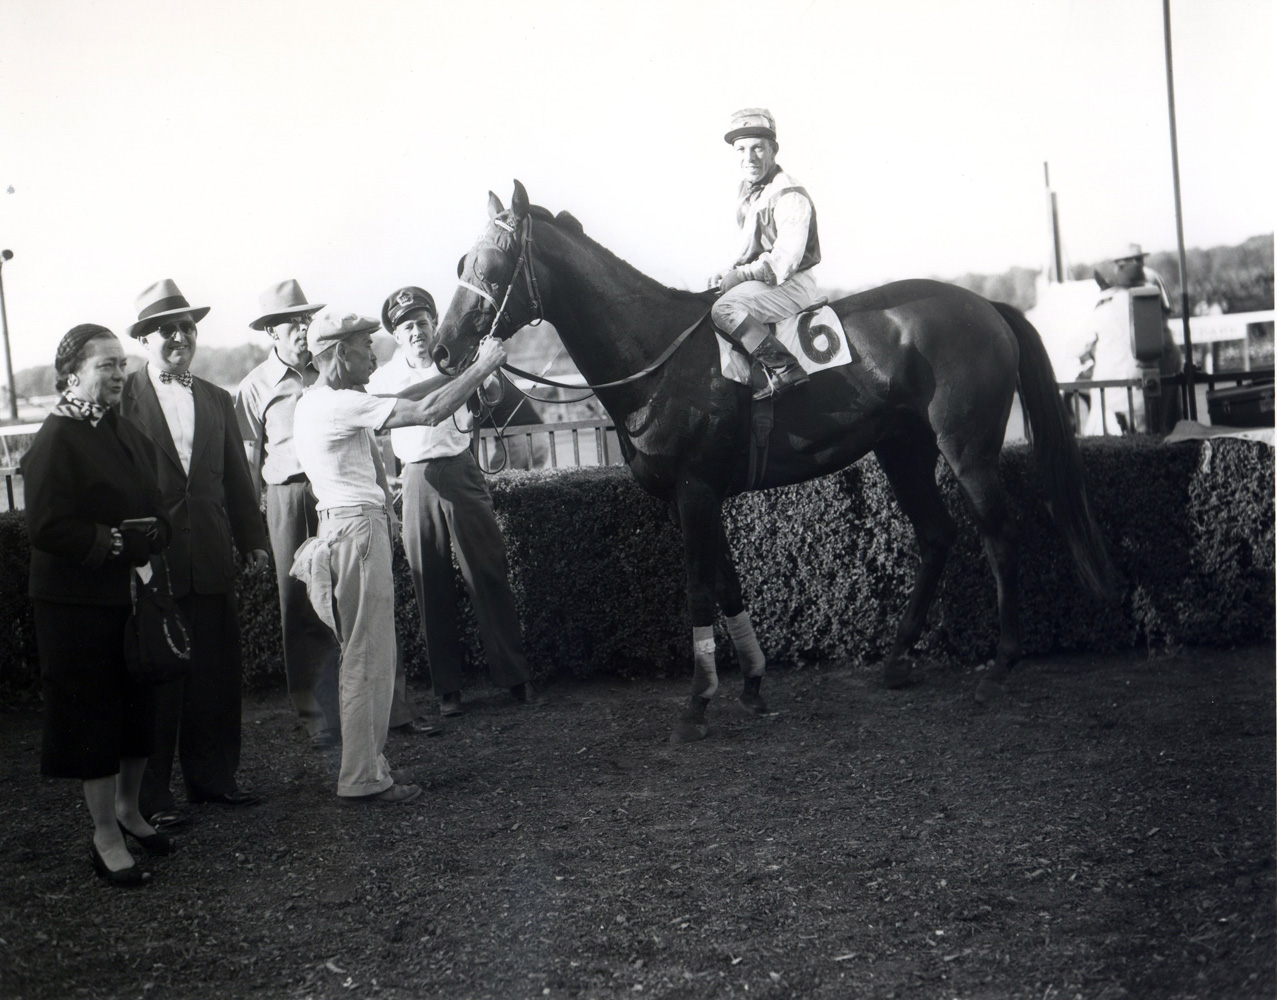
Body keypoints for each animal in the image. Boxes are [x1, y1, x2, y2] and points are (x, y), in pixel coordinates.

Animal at [434, 180, 1113, 740]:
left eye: (491, 265)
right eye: (462, 262)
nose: (444, 349)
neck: (657, 359)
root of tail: (986, 306)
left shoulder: (696, 490)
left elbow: (699, 586)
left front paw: (698, 702)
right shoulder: (699, 494)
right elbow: (729, 583)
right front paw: (754, 682)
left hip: (966, 449)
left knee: (1000, 534)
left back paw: (999, 666)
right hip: (903, 448)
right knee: (937, 534)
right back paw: (897, 659)